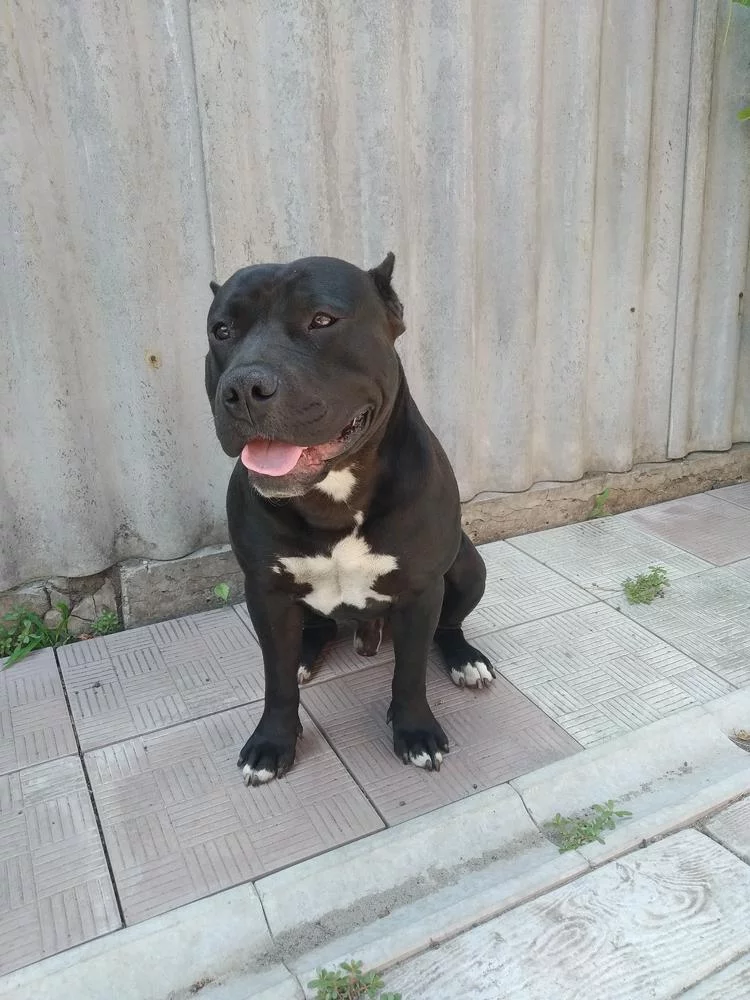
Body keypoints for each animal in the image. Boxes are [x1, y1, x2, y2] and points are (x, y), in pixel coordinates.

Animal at [205, 254, 495, 785]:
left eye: (322, 320)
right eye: (222, 330)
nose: (243, 387)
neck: (333, 495)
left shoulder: (422, 588)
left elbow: (410, 673)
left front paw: (415, 730)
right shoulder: (265, 590)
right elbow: (275, 679)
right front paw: (272, 741)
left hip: (468, 566)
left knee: (449, 625)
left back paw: (465, 659)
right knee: (309, 634)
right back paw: (304, 653)